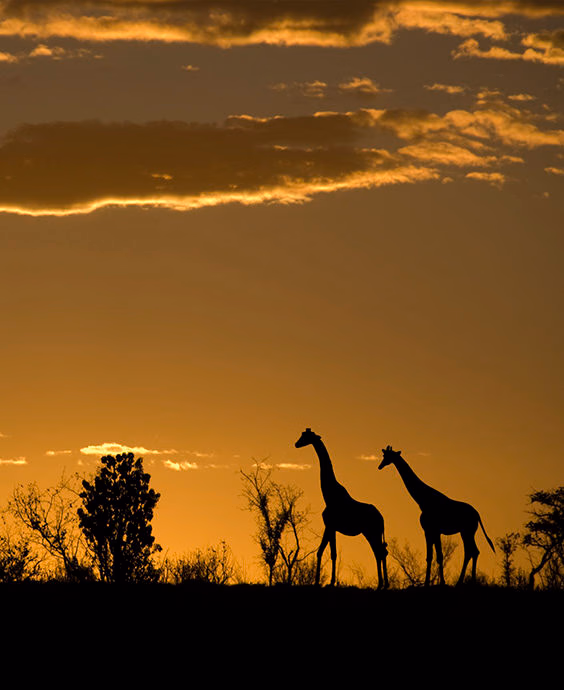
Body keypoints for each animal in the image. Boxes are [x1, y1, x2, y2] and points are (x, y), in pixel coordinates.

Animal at [295, 428, 389, 588]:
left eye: (305, 436)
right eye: (302, 434)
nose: (296, 444)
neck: (329, 495)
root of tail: (381, 519)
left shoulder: (330, 525)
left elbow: (328, 552)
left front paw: (325, 582)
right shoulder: (330, 527)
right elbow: (326, 552)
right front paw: (324, 582)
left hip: (371, 532)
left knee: (379, 552)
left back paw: (381, 584)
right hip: (373, 532)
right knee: (381, 551)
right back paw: (384, 584)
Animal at [379, 445, 495, 586]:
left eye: (388, 456)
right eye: (384, 456)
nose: (380, 466)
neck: (422, 500)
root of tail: (477, 514)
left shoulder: (433, 530)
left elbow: (438, 556)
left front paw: (439, 582)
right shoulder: (430, 531)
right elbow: (431, 557)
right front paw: (429, 583)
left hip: (467, 531)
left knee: (472, 551)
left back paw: (467, 581)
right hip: (466, 532)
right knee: (472, 551)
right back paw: (465, 581)